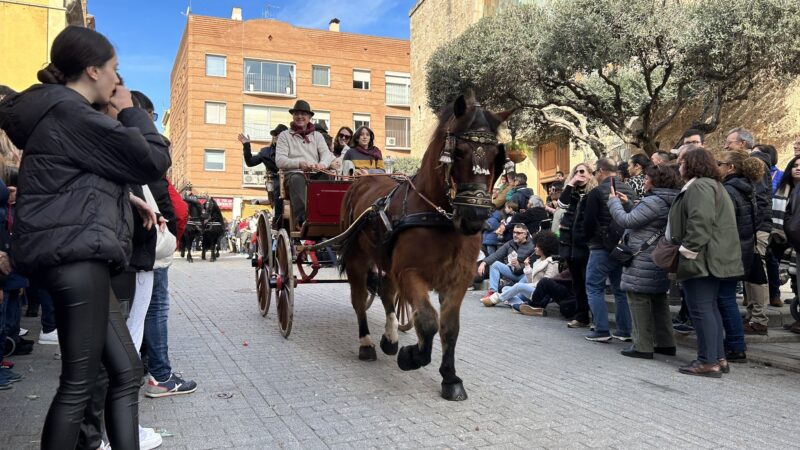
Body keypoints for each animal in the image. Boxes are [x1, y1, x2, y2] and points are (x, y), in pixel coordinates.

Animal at [338, 93, 512, 400]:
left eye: (496, 157)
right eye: (458, 152)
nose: (475, 216)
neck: (440, 218)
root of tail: (363, 180)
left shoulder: (457, 279)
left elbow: (449, 328)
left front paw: (450, 377)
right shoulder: (410, 273)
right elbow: (429, 321)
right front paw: (413, 356)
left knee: (386, 293)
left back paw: (390, 338)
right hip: (358, 259)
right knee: (359, 300)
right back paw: (367, 343)